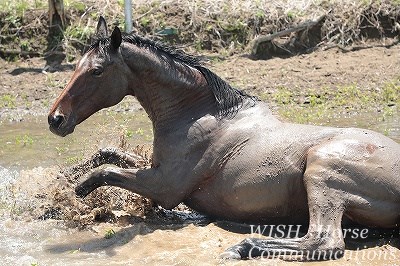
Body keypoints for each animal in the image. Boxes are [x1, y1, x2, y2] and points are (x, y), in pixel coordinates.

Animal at [47, 17, 400, 262]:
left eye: (96, 71)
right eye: (76, 66)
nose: (55, 119)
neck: (198, 114)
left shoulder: (164, 186)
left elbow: (105, 172)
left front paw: (67, 197)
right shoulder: (156, 169)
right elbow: (107, 155)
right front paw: (61, 184)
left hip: (321, 173)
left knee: (325, 242)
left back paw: (244, 246)